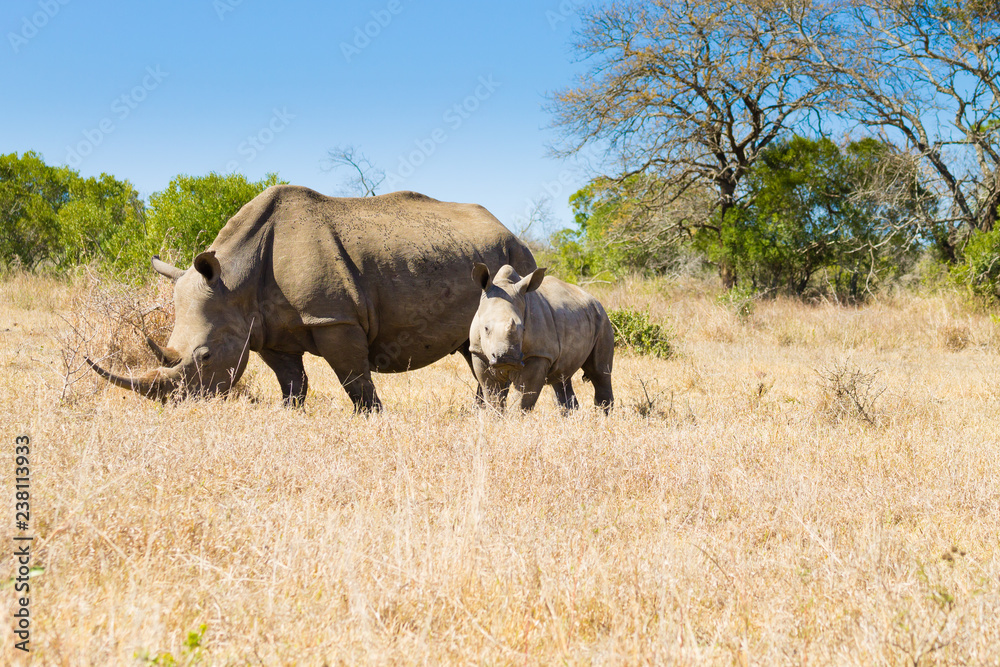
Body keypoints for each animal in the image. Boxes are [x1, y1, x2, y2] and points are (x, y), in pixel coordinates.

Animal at [86, 185, 537, 411]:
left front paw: (371, 419)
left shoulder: (334, 319)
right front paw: (289, 415)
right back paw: (478, 413)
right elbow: (292, 383)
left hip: (515, 256)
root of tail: (509, 230)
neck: (235, 280)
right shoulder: (265, 331)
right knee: (470, 348)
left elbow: (355, 380)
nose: (179, 406)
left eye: (206, 356)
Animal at [468, 263, 614, 413]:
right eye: (486, 328)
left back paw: (603, 414)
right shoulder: (478, 352)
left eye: (523, 329)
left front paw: (515, 418)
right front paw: (496, 416)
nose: (507, 358)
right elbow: (493, 395)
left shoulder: (538, 354)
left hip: (602, 318)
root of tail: (594, 299)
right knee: (561, 378)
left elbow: (523, 397)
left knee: (600, 372)